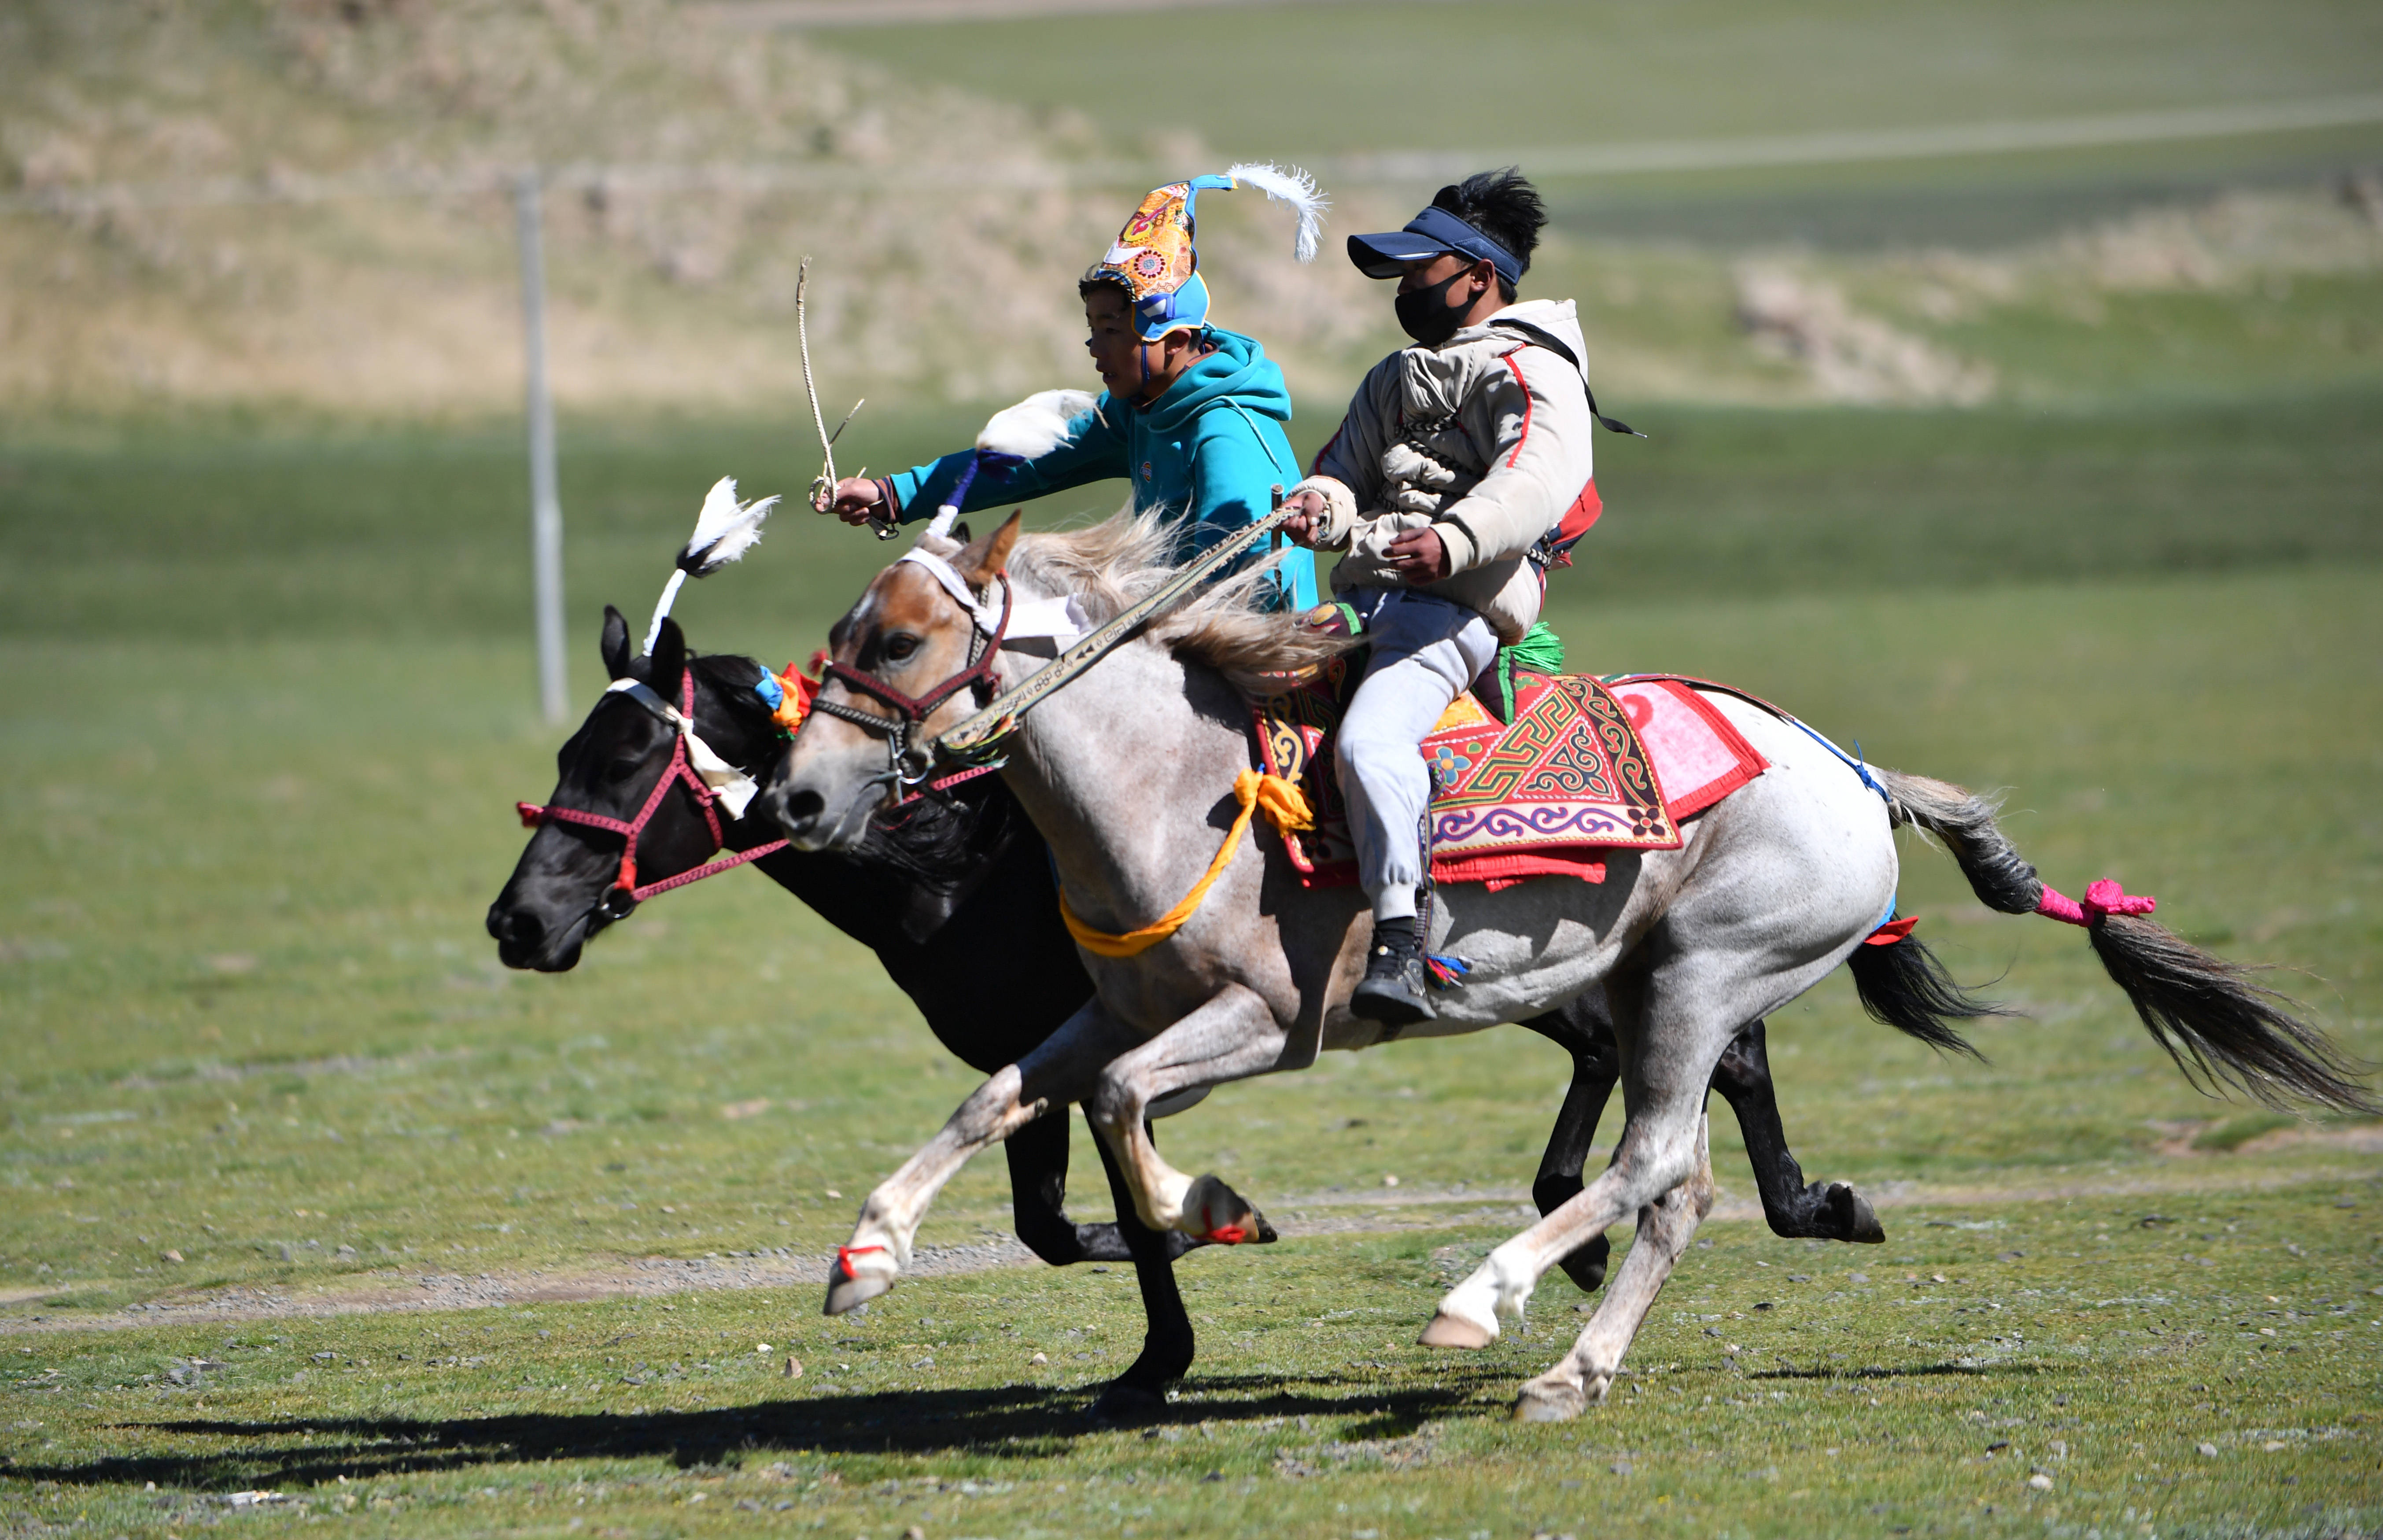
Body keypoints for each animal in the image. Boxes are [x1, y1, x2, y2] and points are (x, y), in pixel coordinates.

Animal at [772, 515, 2373, 1421]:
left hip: (1700, 977)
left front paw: (1214, 1207)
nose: (795, 794)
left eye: (899, 639)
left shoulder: (1270, 1021)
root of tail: (1855, 775)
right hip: (1662, 987)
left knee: (1654, 1162)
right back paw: (1571, 1367)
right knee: (1679, 1188)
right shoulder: (1112, 1003)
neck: (1178, 785)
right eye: (836, 637)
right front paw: (867, 1256)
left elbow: (1114, 1112)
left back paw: (1484, 1300)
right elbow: (1001, 1096)